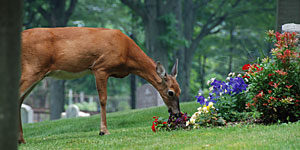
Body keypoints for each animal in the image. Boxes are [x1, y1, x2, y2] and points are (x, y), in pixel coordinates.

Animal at [18, 27, 180, 144]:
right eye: (170, 92)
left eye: (180, 91)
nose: (177, 113)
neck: (127, 53)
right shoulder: (101, 67)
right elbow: (103, 99)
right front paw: (104, 131)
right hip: (32, 68)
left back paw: (22, 139)